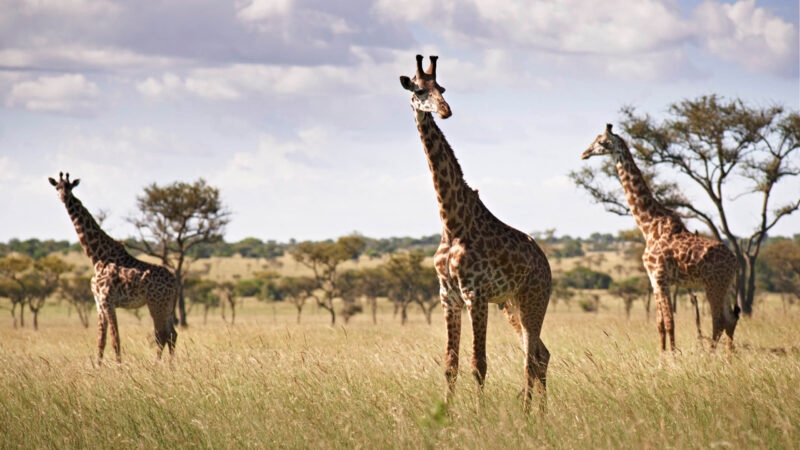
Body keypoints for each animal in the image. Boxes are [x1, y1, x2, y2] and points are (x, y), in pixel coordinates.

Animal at [49, 172, 178, 363]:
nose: (64, 197)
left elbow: (115, 339)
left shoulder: (108, 301)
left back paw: (157, 364)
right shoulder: (99, 303)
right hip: (168, 305)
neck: (97, 257)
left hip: (156, 303)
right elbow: (101, 341)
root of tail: (176, 282)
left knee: (161, 334)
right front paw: (98, 366)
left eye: (69, 187)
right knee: (172, 334)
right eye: (57, 187)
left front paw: (119, 366)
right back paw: (171, 365)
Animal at [399, 55, 552, 412]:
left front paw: (480, 416)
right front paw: (447, 413)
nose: (445, 110)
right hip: (511, 304)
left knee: (531, 358)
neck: (452, 223)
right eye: (418, 90)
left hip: (533, 299)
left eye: (441, 88)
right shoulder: (448, 297)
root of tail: (547, 265)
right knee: (540, 354)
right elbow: (450, 364)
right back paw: (540, 413)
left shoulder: (475, 294)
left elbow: (478, 364)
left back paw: (528, 414)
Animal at [581, 124, 740, 352]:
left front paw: (672, 357)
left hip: (713, 284)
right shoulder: (654, 280)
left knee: (718, 321)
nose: (584, 153)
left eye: (601, 142)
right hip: (725, 286)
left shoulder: (660, 277)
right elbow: (660, 324)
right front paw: (662, 356)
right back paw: (728, 357)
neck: (649, 225)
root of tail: (735, 260)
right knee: (730, 320)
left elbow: (670, 322)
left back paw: (710, 356)